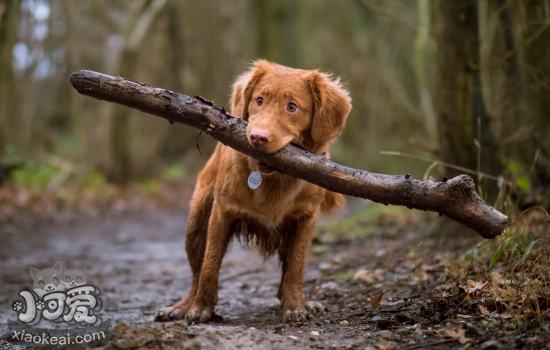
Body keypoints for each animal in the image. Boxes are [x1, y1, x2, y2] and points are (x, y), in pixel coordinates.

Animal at [155, 59, 354, 322]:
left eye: (292, 107)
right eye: (259, 100)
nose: (258, 137)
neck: (274, 179)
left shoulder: (306, 219)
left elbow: (295, 267)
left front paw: (295, 306)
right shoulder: (221, 212)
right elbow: (210, 264)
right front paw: (200, 308)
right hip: (196, 223)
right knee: (197, 272)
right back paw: (182, 306)